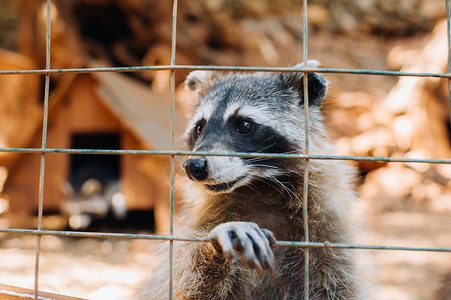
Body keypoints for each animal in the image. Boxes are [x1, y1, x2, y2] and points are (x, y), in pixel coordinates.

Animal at [138, 60, 364, 298]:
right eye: (199, 128)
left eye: (244, 125)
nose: (194, 166)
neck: (261, 188)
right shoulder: (202, 219)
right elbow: (186, 287)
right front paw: (216, 244)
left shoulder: (327, 229)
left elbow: (335, 287)